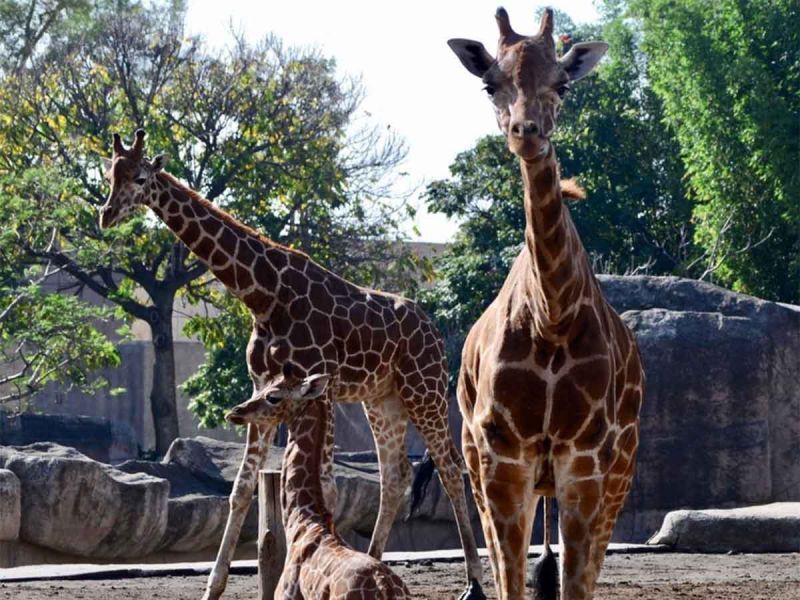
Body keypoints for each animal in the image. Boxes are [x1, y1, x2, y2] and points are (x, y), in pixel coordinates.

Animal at [450, 7, 644, 596]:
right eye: (490, 83)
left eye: (562, 84)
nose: (526, 132)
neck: (551, 315)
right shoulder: (501, 458)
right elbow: (511, 580)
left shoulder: (586, 461)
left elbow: (578, 582)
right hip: (479, 462)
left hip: (619, 470)